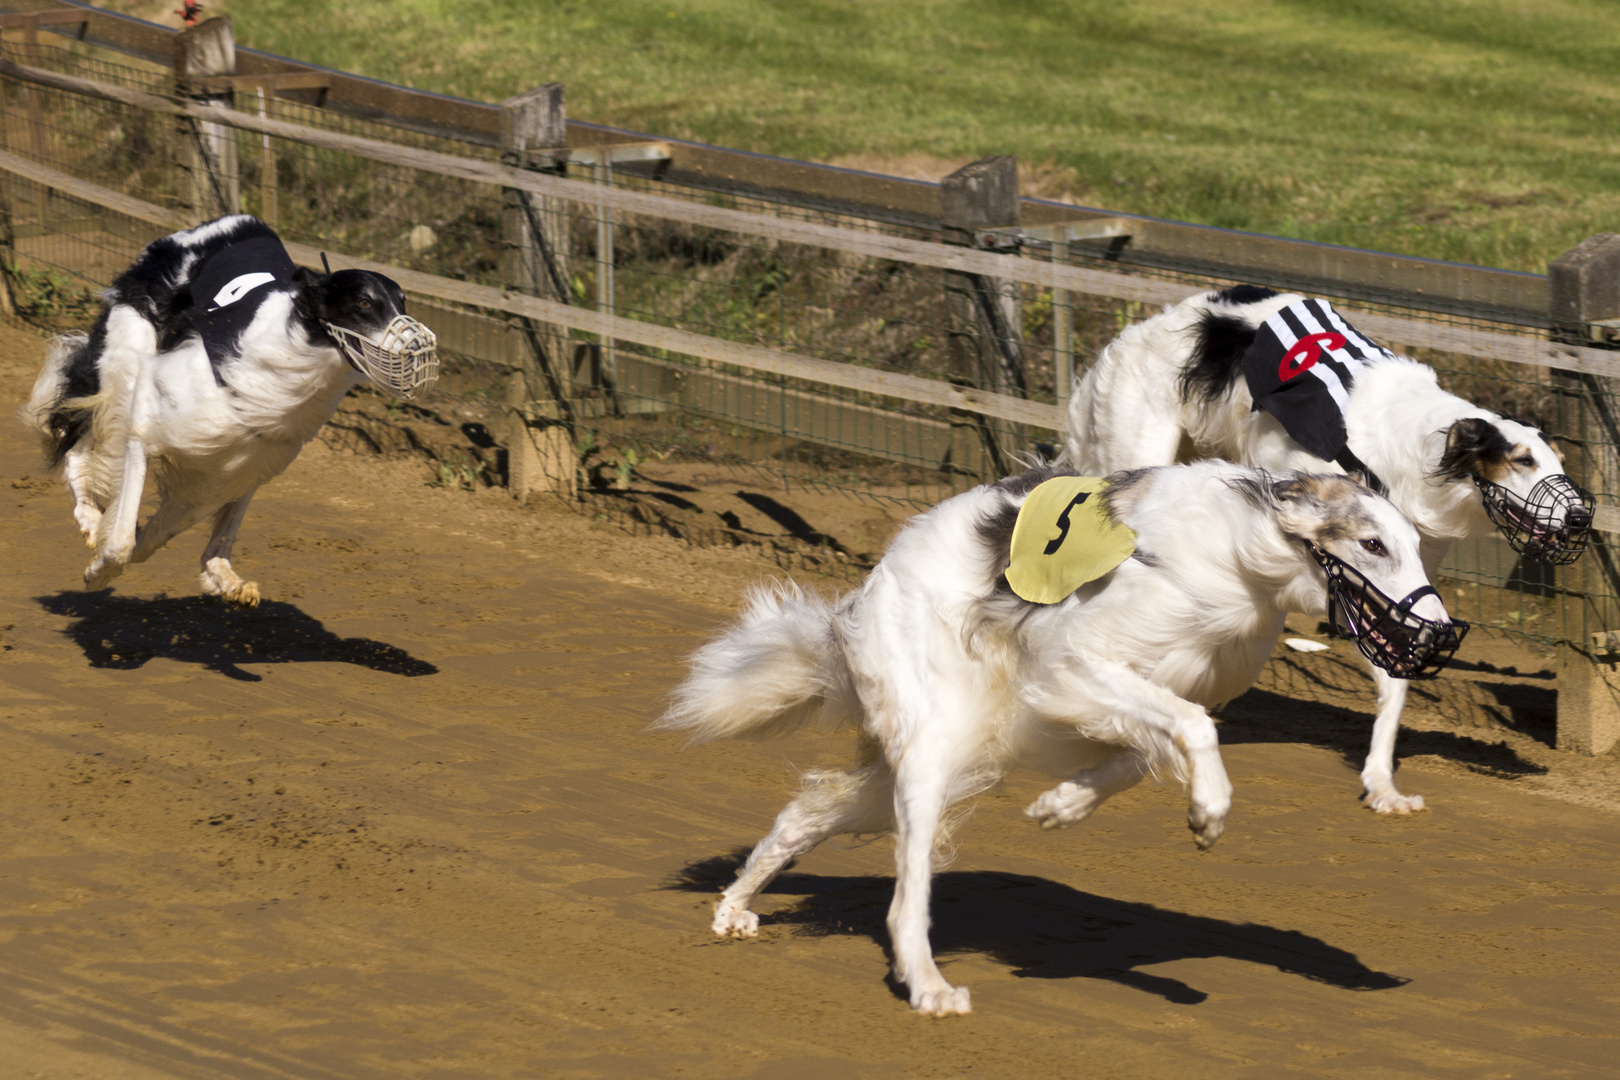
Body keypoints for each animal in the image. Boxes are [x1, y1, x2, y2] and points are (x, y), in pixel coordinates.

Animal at [22, 210, 437, 608]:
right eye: (364, 302)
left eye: (402, 302)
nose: (422, 347)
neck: (289, 363)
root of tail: (214, 225)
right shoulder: (150, 421)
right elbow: (124, 540)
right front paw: (98, 572)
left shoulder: (243, 462)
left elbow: (167, 539)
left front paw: (224, 580)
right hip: (125, 364)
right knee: (77, 442)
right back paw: (90, 517)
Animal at [651, 463, 1464, 1016]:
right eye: (1371, 544)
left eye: (1413, 546)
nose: (1442, 636)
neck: (1236, 559)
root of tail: (874, 580)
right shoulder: (1071, 664)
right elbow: (1193, 731)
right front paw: (1208, 813)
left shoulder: (1102, 697)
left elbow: (1136, 758)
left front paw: (1061, 807)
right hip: (934, 749)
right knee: (904, 893)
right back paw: (929, 985)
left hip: (948, 756)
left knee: (807, 810)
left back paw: (734, 907)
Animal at [1056, 284, 1587, 809]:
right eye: (1522, 460)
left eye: (1557, 461)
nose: (1580, 516)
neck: (1411, 451)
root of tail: (1146, 328)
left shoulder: (1395, 581)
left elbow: (1394, 671)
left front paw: (1382, 784)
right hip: (1138, 452)